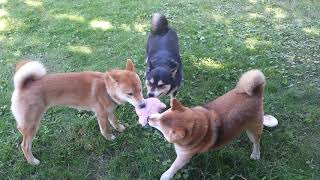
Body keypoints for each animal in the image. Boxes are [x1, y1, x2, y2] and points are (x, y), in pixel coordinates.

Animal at [10, 59, 145, 165]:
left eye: (140, 89)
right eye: (129, 93)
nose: (143, 105)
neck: (106, 89)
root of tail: (23, 85)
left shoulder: (110, 110)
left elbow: (114, 121)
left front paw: (119, 128)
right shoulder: (101, 114)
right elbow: (105, 128)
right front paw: (109, 137)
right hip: (32, 123)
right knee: (25, 145)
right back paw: (32, 161)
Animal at [149, 69, 278, 179]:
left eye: (160, 126)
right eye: (162, 115)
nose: (149, 118)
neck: (198, 122)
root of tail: (255, 93)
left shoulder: (183, 157)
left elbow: (174, 166)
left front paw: (166, 175)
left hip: (253, 130)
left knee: (256, 142)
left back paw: (256, 154)